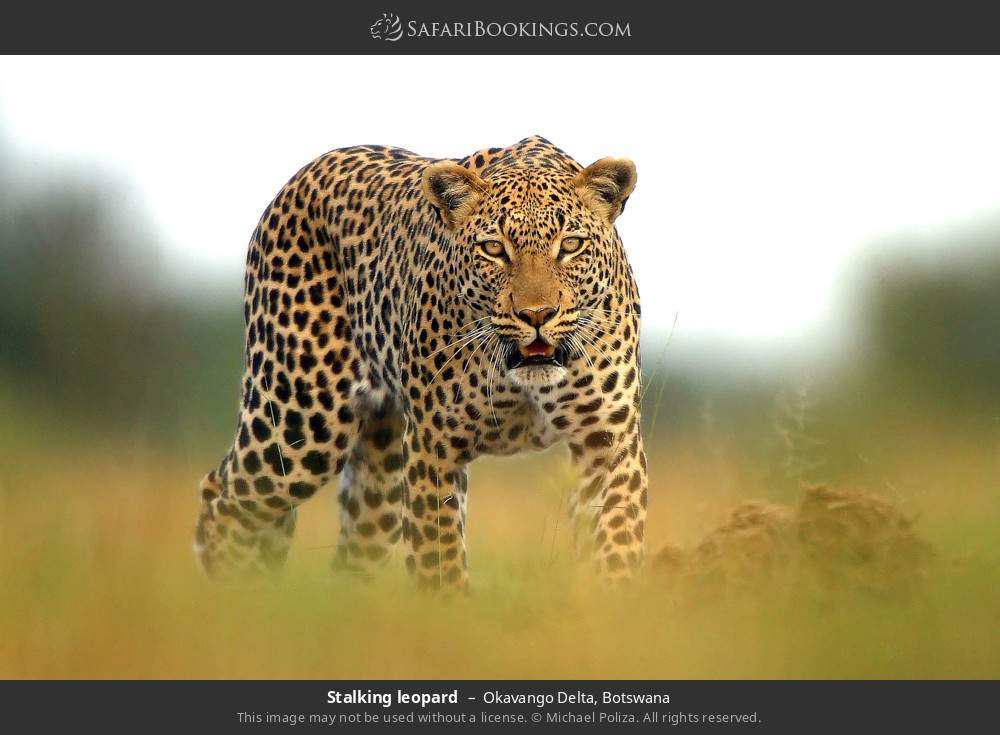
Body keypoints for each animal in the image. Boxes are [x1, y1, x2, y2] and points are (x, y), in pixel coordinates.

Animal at [193, 135, 647, 589]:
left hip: (379, 468)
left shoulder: (607, 440)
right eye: (494, 249)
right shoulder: (434, 446)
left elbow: (617, 542)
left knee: (355, 554)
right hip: (299, 423)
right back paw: (228, 592)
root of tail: (301, 176)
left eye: (570, 245)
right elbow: (438, 562)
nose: (537, 315)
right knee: (223, 497)